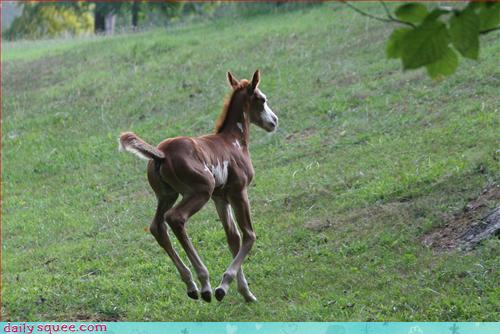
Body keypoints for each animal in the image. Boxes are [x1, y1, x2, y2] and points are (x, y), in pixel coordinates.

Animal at [119, 70, 280, 302]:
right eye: (263, 99)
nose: (274, 121)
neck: (234, 140)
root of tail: (162, 154)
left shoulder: (220, 197)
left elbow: (233, 237)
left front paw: (243, 292)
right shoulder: (239, 192)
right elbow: (249, 235)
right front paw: (224, 285)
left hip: (168, 195)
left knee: (157, 226)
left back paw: (191, 284)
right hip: (201, 190)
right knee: (175, 218)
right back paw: (204, 283)